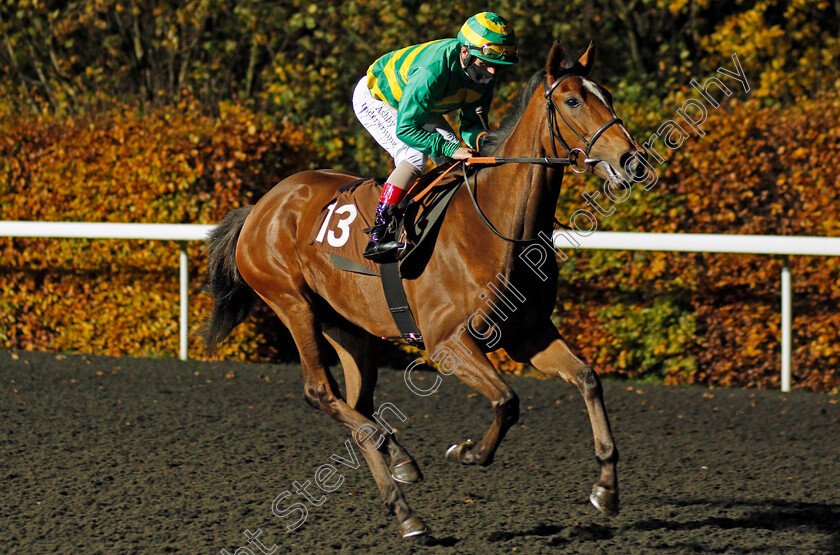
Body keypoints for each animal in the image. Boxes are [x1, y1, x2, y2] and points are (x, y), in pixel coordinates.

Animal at [203, 43, 648, 540]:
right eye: (572, 101)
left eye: (607, 94)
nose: (632, 161)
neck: (496, 227)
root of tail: (262, 205)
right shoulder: (447, 342)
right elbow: (507, 401)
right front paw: (469, 451)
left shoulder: (528, 334)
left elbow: (587, 380)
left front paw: (606, 488)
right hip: (292, 303)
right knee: (321, 392)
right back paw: (400, 476)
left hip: (349, 326)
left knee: (357, 405)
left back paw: (403, 492)